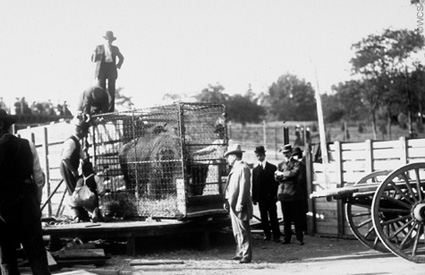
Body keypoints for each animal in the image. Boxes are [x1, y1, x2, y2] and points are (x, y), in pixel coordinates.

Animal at [90, 103, 229, 220]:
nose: (165, 152)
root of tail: (123, 147)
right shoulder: (154, 179)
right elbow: (155, 191)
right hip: (128, 177)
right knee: (132, 187)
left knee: (140, 188)